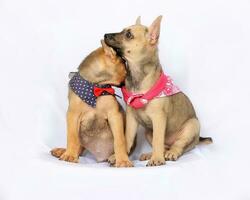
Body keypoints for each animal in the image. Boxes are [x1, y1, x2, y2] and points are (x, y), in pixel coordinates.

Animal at [50, 39, 133, 167]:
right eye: (124, 63)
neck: (96, 86)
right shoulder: (73, 115)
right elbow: (72, 137)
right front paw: (70, 155)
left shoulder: (115, 115)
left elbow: (119, 140)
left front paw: (123, 160)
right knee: (79, 146)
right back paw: (63, 151)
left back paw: (113, 157)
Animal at [104, 15, 212, 166]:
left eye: (129, 35)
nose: (105, 35)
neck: (137, 75)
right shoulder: (132, 119)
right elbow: (128, 137)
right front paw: (119, 156)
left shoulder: (159, 119)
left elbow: (157, 140)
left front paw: (157, 159)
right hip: (148, 132)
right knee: (163, 146)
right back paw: (152, 154)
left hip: (192, 126)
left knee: (178, 145)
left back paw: (170, 153)